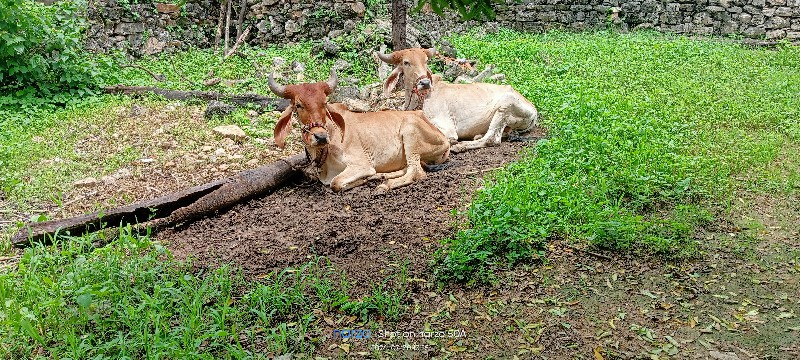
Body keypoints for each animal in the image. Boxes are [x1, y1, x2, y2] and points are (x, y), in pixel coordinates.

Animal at [268, 68, 450, 191]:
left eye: (325, 103)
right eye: (298, 105)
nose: (320, 137)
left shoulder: (361, 164)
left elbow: (335, 183)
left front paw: (363, 180)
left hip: (410, 132)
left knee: (416, 172)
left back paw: (385, 185)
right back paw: (380, 176)